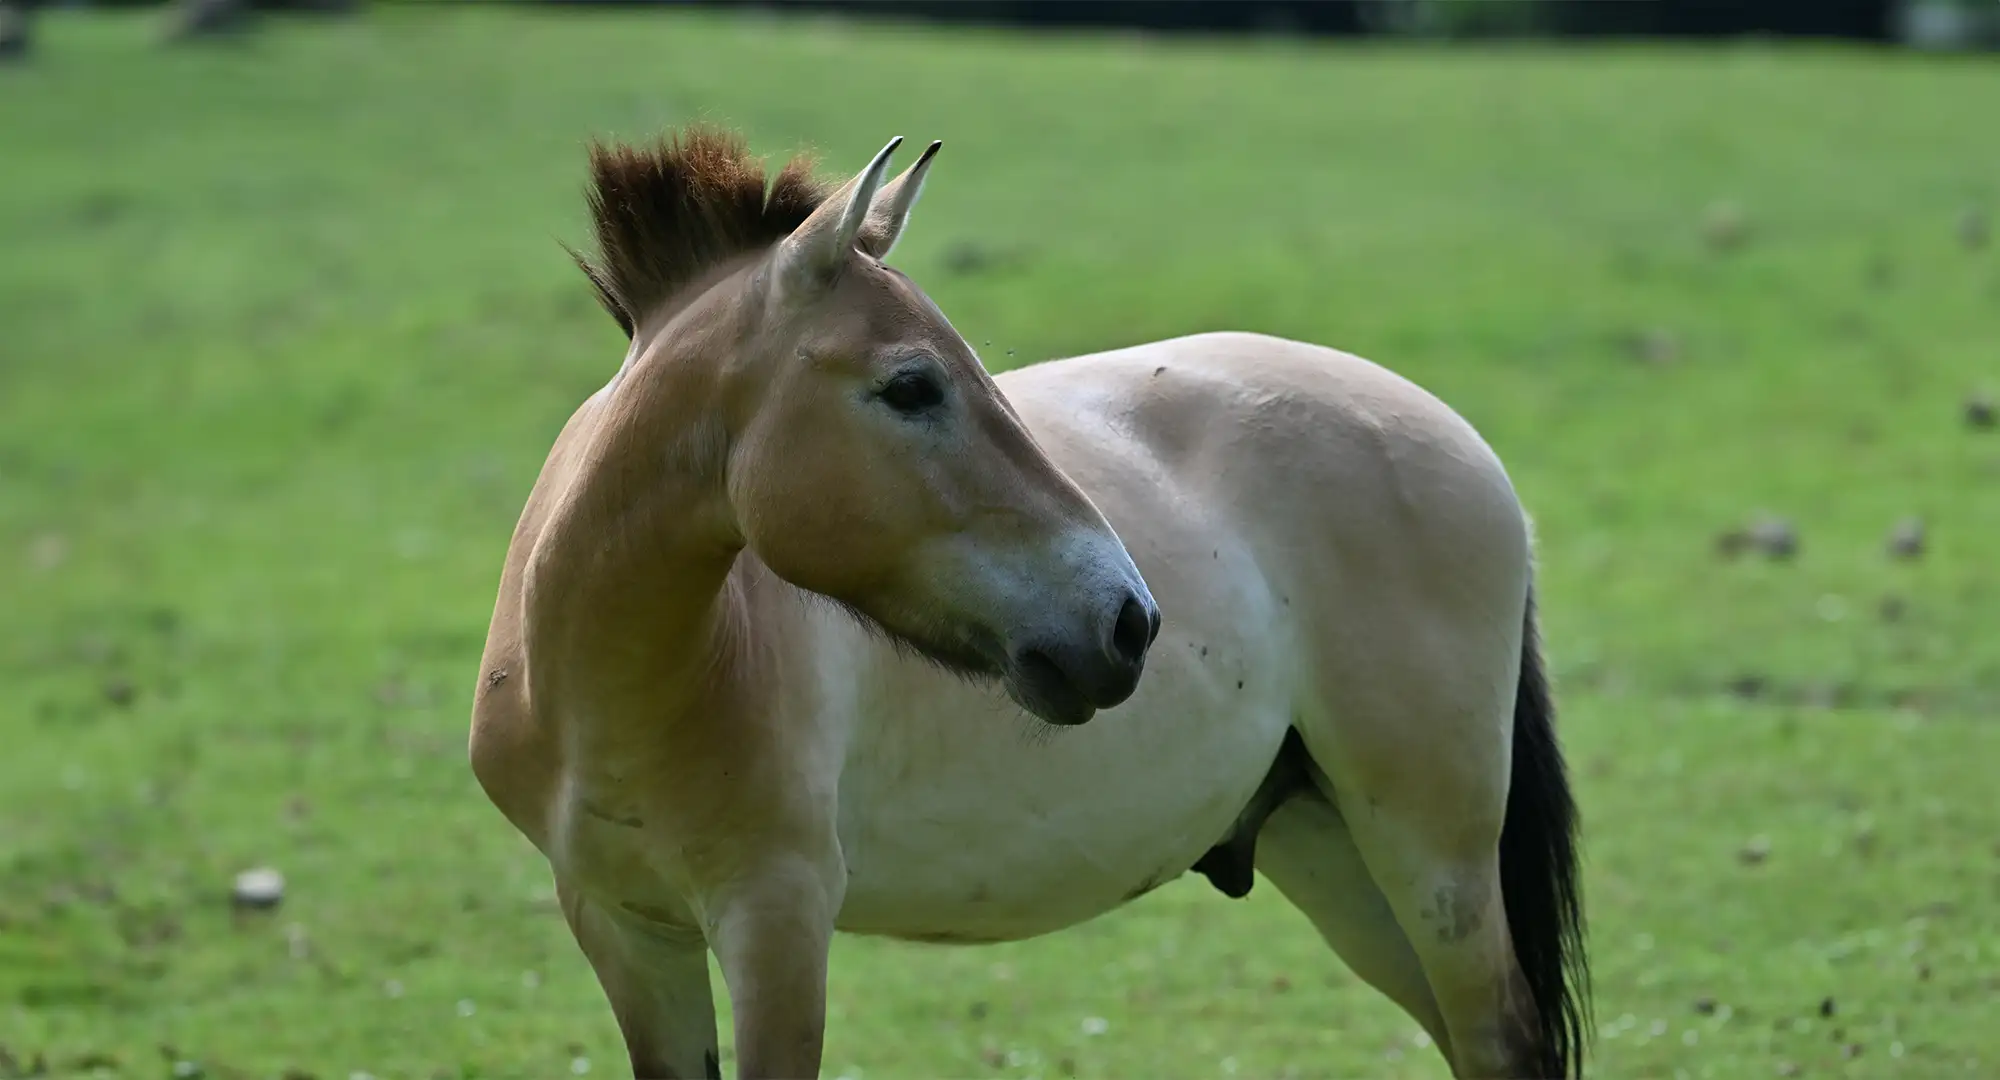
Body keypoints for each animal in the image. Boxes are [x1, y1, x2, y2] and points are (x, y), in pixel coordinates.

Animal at [468, 125, 1589, 1080]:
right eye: (911, 386)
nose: (1129, 623)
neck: (622, 689)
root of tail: (1459, 441)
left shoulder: (776, 927)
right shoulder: (624, 928)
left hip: (1431, 856)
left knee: (1499, 1039)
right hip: (1336, 859)